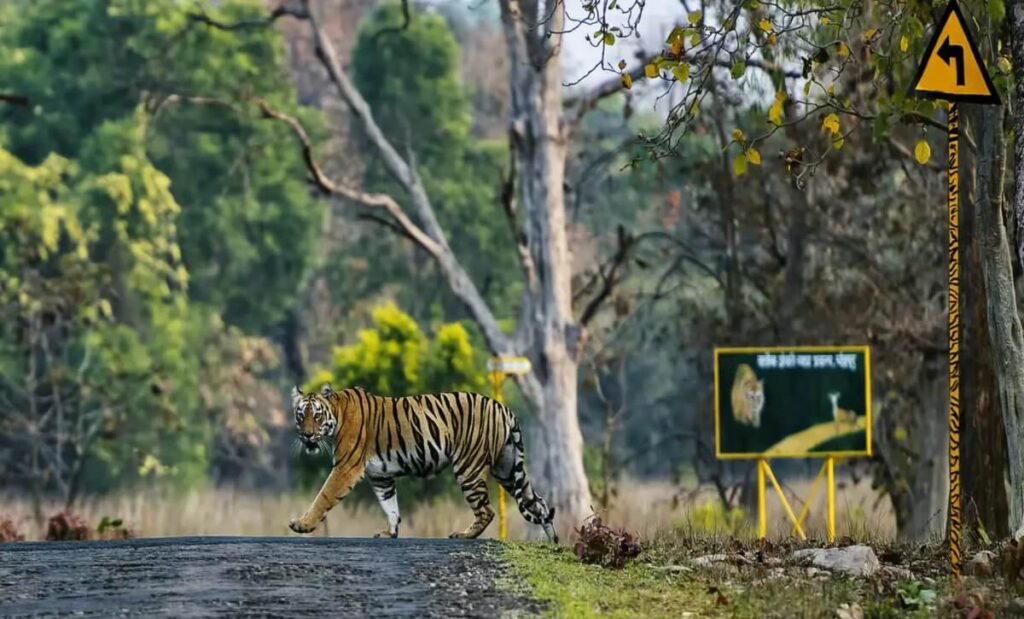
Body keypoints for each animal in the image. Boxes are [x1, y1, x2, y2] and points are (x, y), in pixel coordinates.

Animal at [287, 383, 558, 543]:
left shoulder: (346, 467)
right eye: (301, 416)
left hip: (469, 467)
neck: (337, 415)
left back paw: (463, 535)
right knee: (538, 502)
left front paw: (302, 524)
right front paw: (390, 533)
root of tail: (503, 408)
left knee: (486, 510)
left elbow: (323, 496)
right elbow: (390, 505)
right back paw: (553, 540)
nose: (307, 435)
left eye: (317, 416)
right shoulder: (381, 476)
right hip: (507, 468)